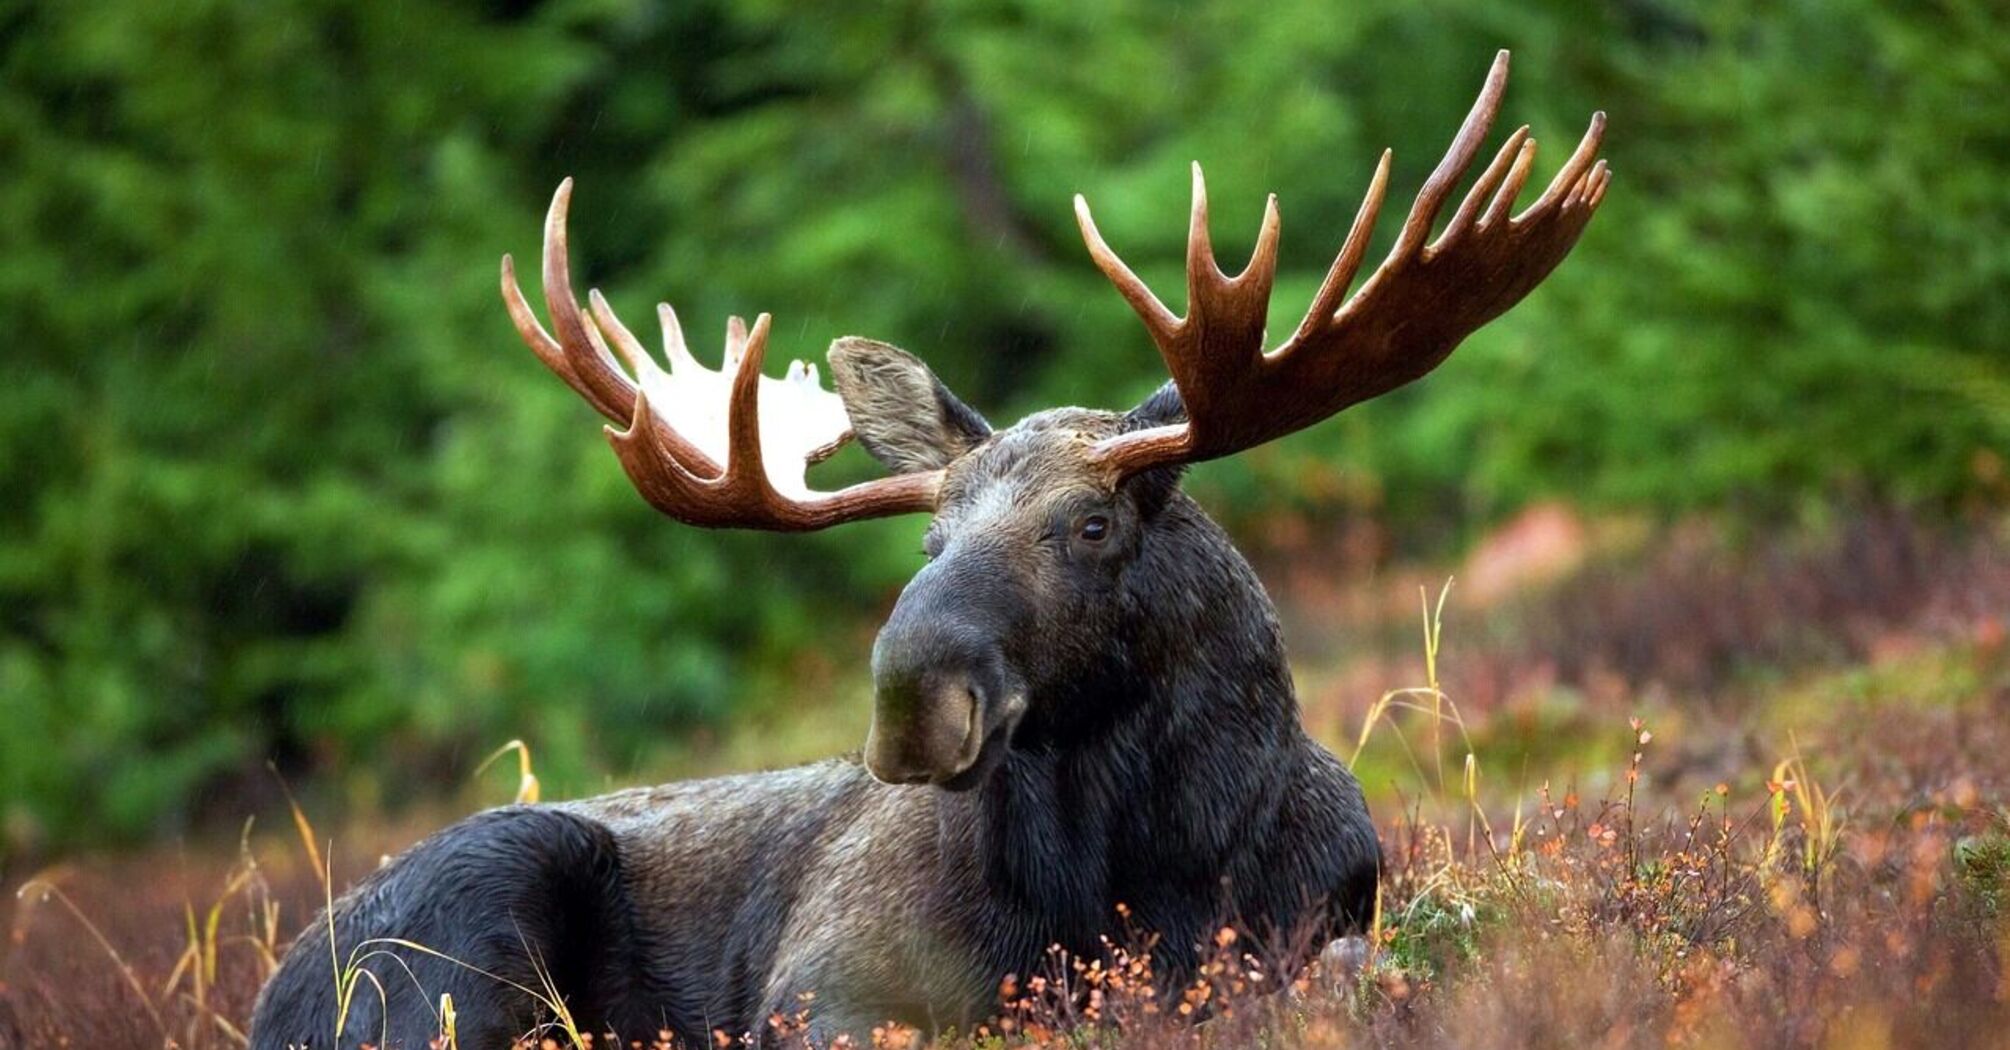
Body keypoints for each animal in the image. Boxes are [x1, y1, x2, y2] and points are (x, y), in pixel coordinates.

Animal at [251, 51, 1608, 1045]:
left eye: (1093, 523)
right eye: (927, 540)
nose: (912, 698)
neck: (1142, 878)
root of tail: (274, 992)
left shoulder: (1328, 919)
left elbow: (1349, 971)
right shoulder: (825, 987)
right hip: (468, 919)